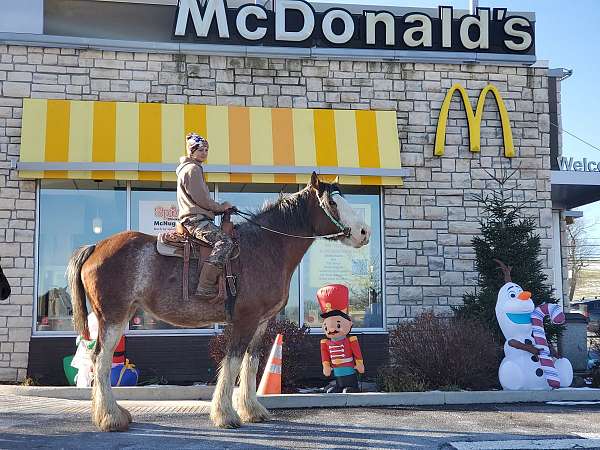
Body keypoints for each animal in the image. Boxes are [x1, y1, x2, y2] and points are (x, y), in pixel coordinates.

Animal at [68, 171, 372, 430]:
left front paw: (252, 410)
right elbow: (233, 362)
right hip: (113, 317)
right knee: (101, 360)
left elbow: (251, 363)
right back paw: (111, 417)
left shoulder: (261, 323)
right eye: (332, 202)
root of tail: (96, 247)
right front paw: (226, 415)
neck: (266, 246)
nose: (364, 232)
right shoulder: (245, 319)